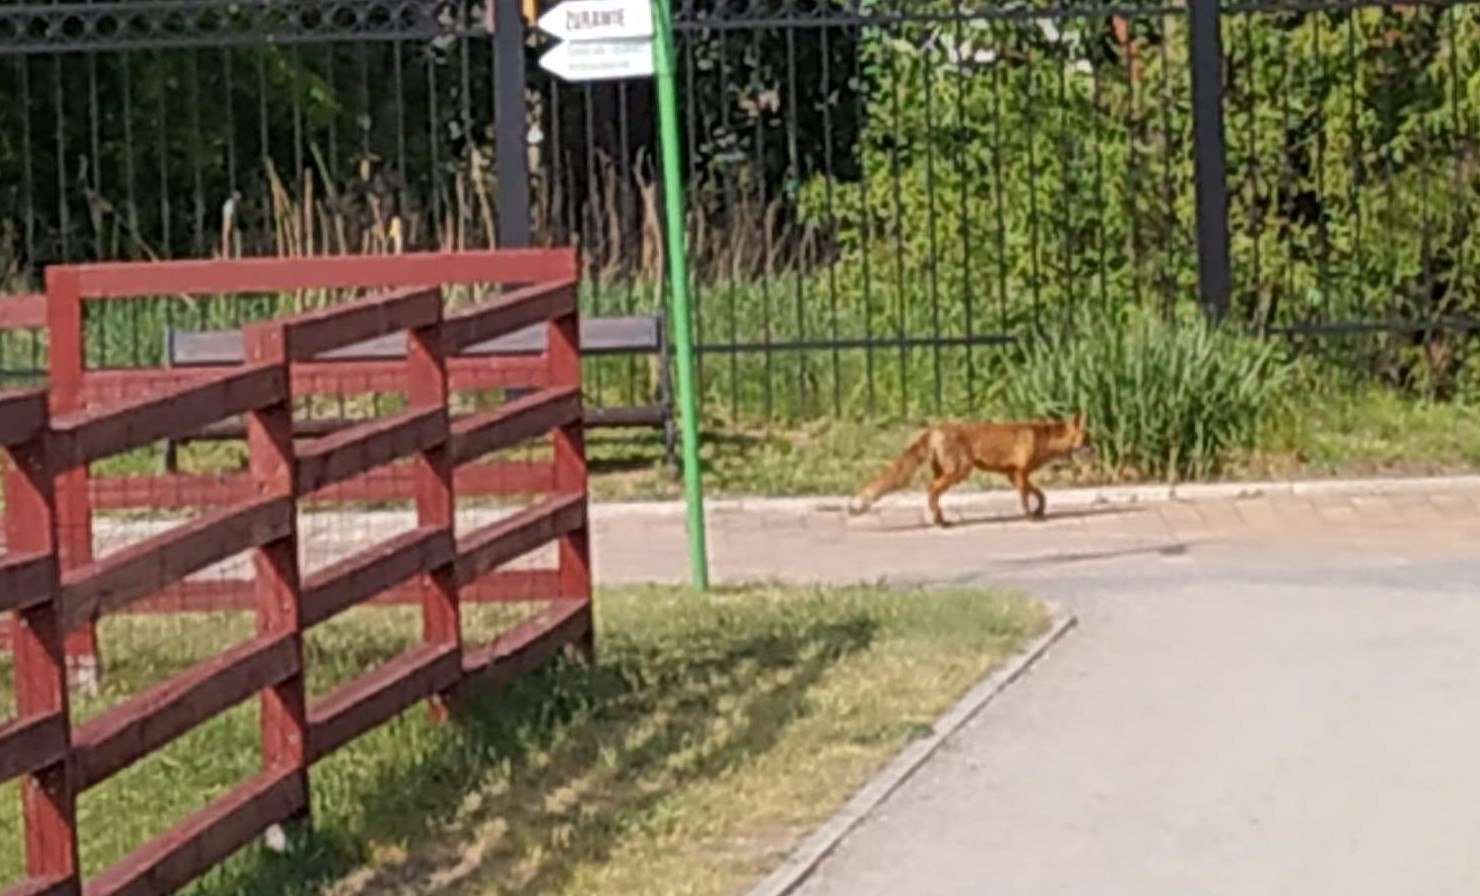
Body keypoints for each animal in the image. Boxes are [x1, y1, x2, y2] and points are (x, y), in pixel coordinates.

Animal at [846, 411, 1101, 524]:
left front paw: (1039, 511)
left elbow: (1040, 494)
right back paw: (939, 520)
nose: (1097, 449)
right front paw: (1031, 517)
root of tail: (934, 428)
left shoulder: (1015, 475)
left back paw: (939, 517)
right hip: (960, 471)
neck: (1043, 440)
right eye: (1087, 439)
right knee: (931, 489)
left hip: (947, 471)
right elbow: (1025, 499)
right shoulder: (1020, 473)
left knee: (932, 491)